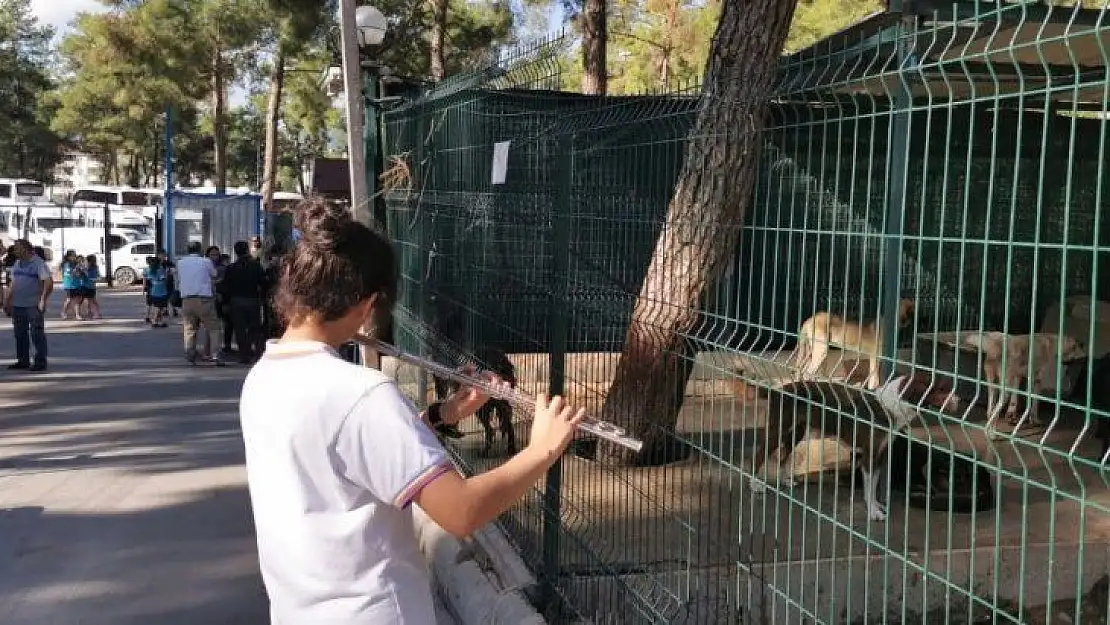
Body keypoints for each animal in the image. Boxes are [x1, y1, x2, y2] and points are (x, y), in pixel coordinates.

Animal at [750, 375, 967, 526]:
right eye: (942, 389)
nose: (960, 400)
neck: (891, 406)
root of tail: (778, 389)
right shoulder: (870, 455)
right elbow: (870, 487)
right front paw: (873, 513)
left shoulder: (880, 455)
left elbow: (873, 487)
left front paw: (876, 506)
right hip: (778, 430)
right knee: (759, 454)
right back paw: (755, 485)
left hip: (797, 431)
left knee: (784, 455)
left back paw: (785, 480)